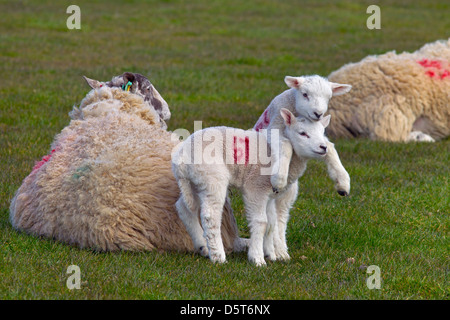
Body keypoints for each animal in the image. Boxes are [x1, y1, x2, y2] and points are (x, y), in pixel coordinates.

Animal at [171, 109, 330, 266]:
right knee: (210, 216)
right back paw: (218, 256)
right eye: (302, 133)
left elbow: (271, 223)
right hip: (212, 177)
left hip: (196, 182)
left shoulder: (269, 195)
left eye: (323, 132)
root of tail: (181, 156)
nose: (324, 147)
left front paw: (271, 254)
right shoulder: (256, 186)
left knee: (184, 207)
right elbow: (261, 222)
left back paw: (202, 246)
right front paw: (257, 258)